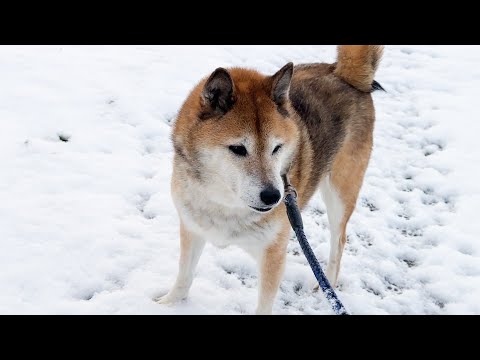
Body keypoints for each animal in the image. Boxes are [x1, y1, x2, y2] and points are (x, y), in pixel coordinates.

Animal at [159, 45, 384, 316]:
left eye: (277, 148)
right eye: (238, 149)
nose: (273, 196)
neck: (227, 205)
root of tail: (344, 74)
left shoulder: (273, 253)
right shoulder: (192, 228)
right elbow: (184, 277)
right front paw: (167, 304)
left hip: (340, 192)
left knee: (339, 242)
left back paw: (326, 286)